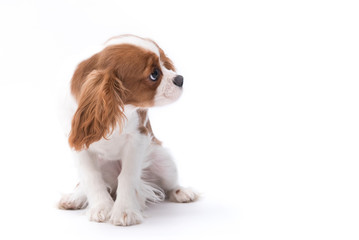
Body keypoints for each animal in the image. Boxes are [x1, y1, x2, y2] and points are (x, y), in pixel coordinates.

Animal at [59, 34, 200, 226]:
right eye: (154, 74)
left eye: (164, 64)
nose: (180, 79)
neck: (119, 109)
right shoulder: (78, 144)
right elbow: (91, 177)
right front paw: (101, 207)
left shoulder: (137, 139)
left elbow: (127, 176)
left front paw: (125, 210)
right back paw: (74, 198)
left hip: (165, 162)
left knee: (170, 184)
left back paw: (181, 192)